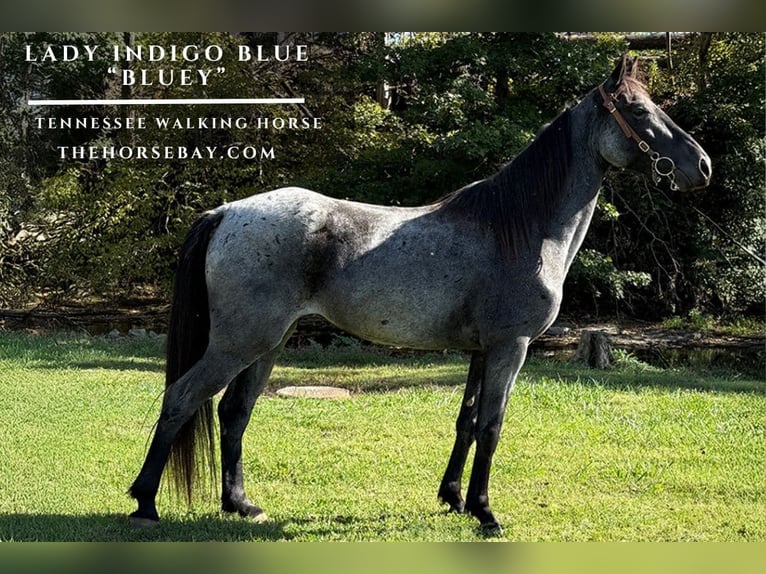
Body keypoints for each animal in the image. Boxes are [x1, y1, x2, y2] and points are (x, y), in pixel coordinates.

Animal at [128, 55, 711, 533]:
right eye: (636, 109)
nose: (700, 166)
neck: (520, 228)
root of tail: (227, 211)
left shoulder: (482, 351)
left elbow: (467, 422)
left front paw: (454, 499)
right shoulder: (511, 347)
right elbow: (492, 426)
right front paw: (485, 512)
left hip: (266, 344)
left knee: (234, 413)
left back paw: (240, 505)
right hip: (239, 343)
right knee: (182, 399)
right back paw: (145, 503)